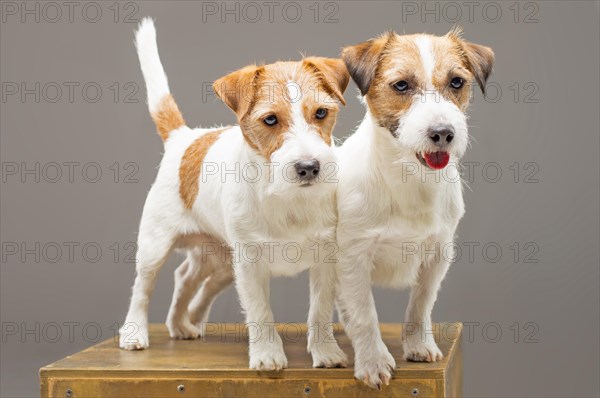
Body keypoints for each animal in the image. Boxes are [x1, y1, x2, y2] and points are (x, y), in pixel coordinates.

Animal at [119, 18, 350, 372]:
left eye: (321, 113)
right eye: (270, 119)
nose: (309, 167)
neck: (285, 197)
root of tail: (182, 138)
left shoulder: (326, 259)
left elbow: (320, 311)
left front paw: (326, 352)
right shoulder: (251, 265)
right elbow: (260, 312)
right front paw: (268, 354)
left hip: (221, 260)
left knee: (186, 278)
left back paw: (183, 324)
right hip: (155, 246)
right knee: (144, 287)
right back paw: (135, 334)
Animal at [332, 30, 492, 388]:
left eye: (457, 82)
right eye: (402, 85)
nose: (443, 133)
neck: (410, 179)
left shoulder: (438, 254)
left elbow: (420, 304)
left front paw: (418, 345)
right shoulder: (352, 258)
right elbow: (364, 313)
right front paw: (373, 361)